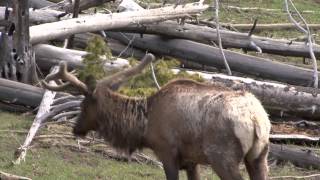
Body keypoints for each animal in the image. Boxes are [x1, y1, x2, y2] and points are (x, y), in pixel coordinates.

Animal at [42, 53, 270, 180]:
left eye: (83, 105)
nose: (76, 128)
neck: (144, 126)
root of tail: (256, 119)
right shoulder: (191, 161)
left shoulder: (167, 151)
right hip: (259, 156)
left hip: (222, 156)